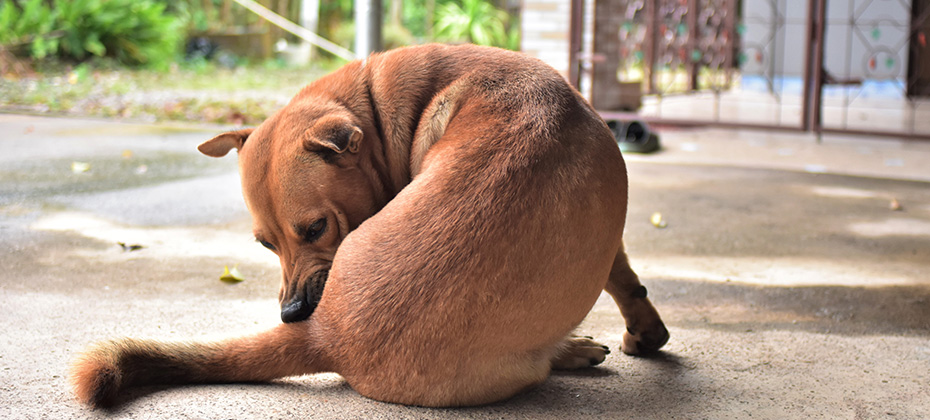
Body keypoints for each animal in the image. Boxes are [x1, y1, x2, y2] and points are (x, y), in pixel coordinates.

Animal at [72, 43, 668, 406]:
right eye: (265, 245)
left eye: (315, 229)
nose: (290, 313)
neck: (382, 108)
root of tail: (328, 334)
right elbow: (622, 279)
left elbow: (627, 280)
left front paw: (648, 330)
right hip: (523, 362)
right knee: (545, 359)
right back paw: (572, 349)